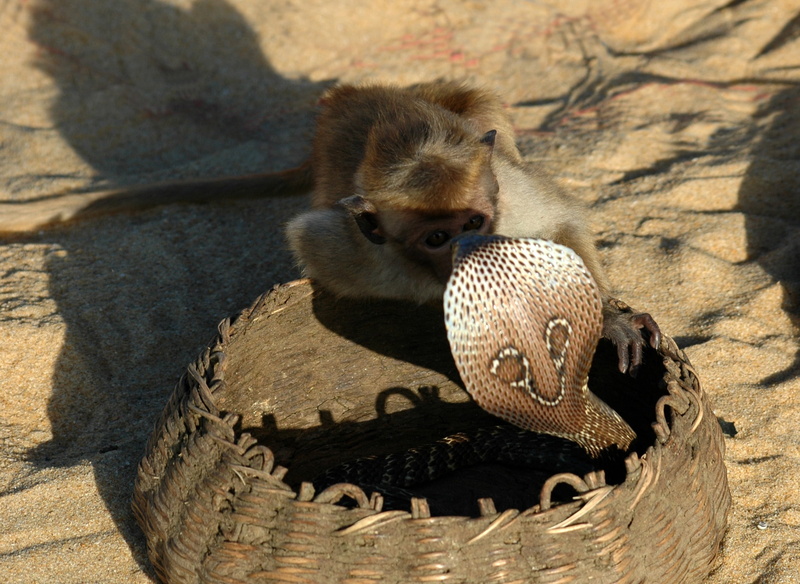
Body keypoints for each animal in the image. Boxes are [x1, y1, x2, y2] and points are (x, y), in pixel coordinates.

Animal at [0, 81, 658, 372]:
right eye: (437, 239)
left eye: (474, 222)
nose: (468, 255)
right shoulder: (355, 250)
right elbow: (313, 244)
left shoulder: (509, 202)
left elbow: (562, 219)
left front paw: (608, 318)